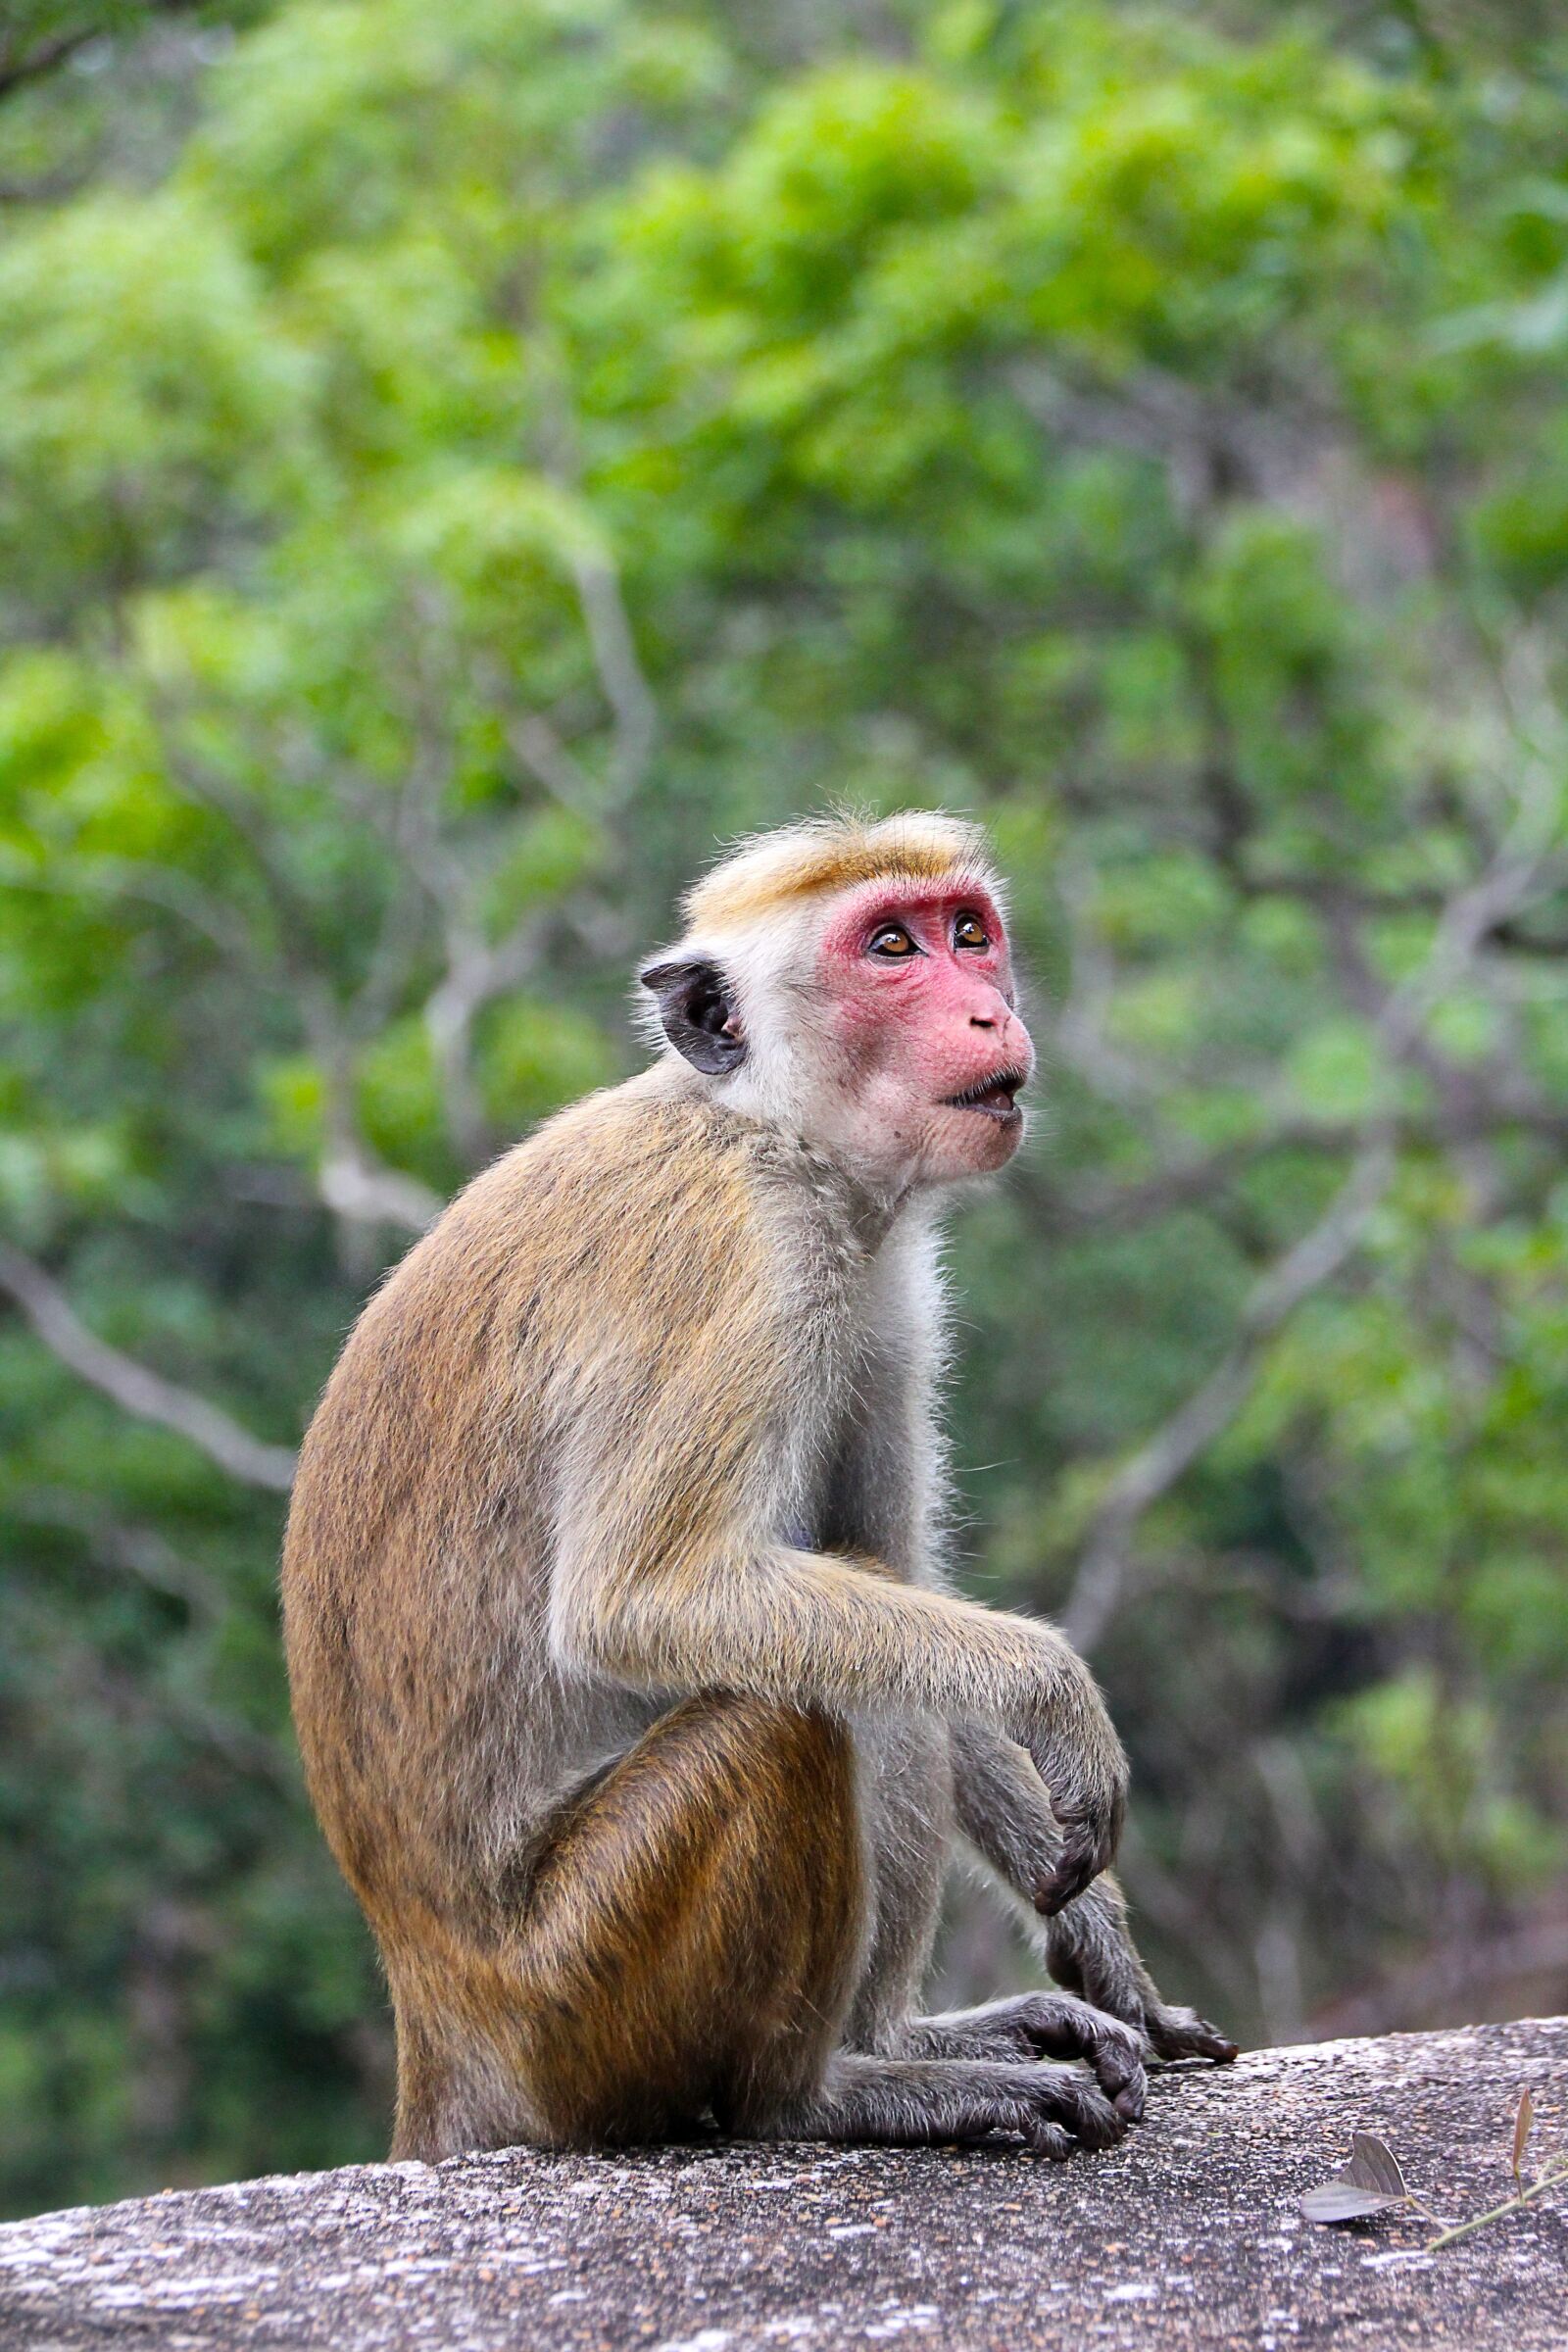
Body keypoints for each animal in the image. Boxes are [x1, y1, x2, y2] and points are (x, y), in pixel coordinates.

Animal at [282, 811, 1236, 2166]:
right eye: (888, 949)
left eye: (967, 933)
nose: (990, 1014)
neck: (764, 1134)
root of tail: (442, 2021)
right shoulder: (738, 1269)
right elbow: (647, 1598)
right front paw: (1053, 1688)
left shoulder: (884, 1294)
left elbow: (886, 1573)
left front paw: (1097, 1933)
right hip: (579, 1991)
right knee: (789, 1712)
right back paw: (826, 2092)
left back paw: (909, 2041)